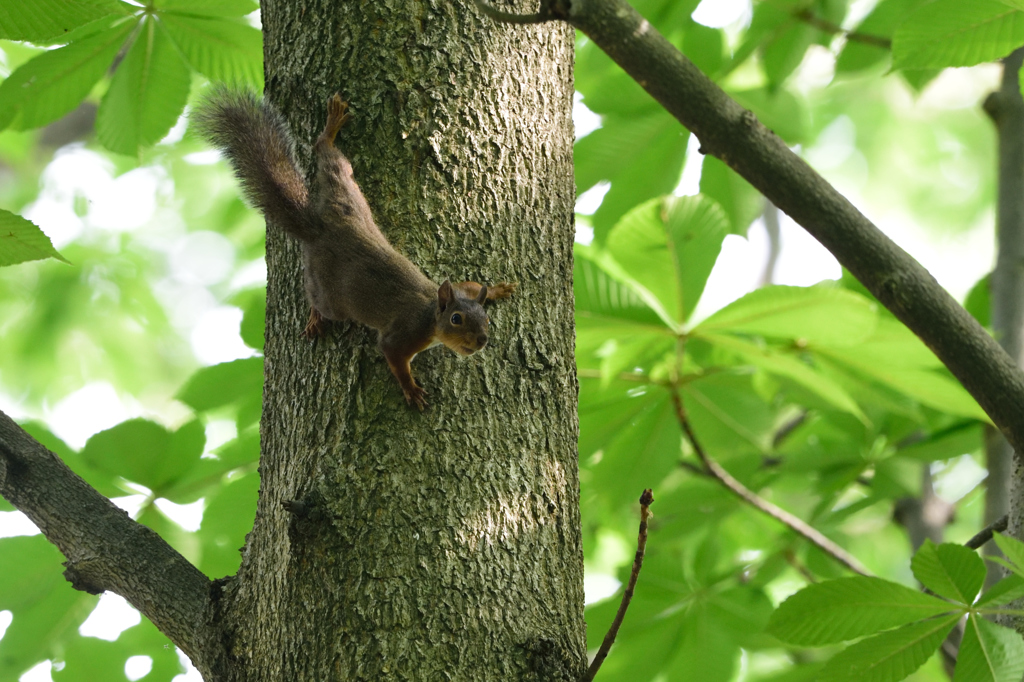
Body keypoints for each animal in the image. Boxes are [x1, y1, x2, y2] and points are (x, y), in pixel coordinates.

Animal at [192, 89, 516, 409]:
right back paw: (314, 318)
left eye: (486, 319)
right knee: (316, 297)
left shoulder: (458, 289)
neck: (430, 314)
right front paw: (411, 389)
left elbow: (471, 285)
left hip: (347, 195)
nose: (482, 340)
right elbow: (393, 357)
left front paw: (497, 289)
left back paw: (330, 131)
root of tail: (320, 230)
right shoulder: (402, 335)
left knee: (333, 164)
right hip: (332, 296)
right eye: (456, 319)